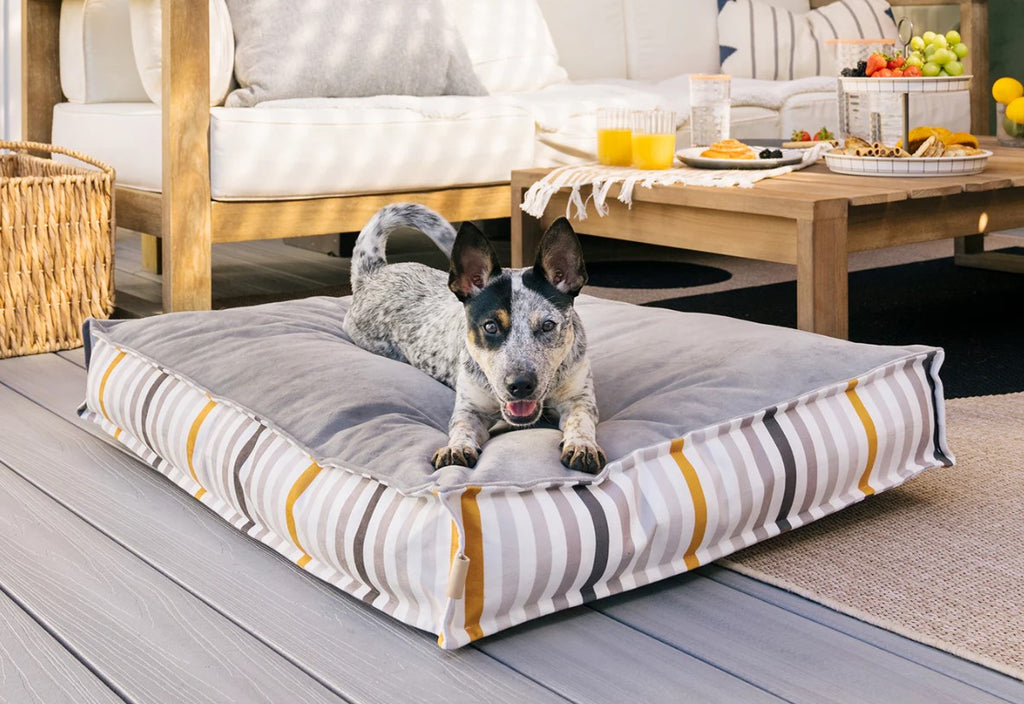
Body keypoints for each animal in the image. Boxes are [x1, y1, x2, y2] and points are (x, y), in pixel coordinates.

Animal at [344, 203, 602, 472]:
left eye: (548, 325)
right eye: (490, 327)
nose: (520, 385)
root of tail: (374, 272)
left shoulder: (579, 399)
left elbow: (580, 421)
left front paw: (582, 445)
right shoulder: (470, 409)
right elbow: (462, 426)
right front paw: (456, 448)